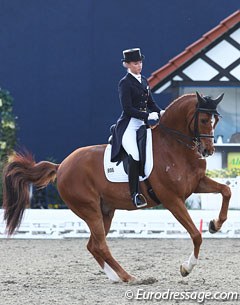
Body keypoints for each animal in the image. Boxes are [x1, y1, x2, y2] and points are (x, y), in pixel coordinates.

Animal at [2, 91, 231, 282]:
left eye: (216, 120)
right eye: (203, 120)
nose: (208, 151)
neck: (174, 146)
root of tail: (61, 166)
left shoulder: (197, 184)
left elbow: (226, 190)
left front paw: (215, 224)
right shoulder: (172, 199)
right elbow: (196, 235)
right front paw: (186, 268)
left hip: (106, 210)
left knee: (93, 245)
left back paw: (115, 276)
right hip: (89, 209)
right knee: (100, 245)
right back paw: (129, 277)